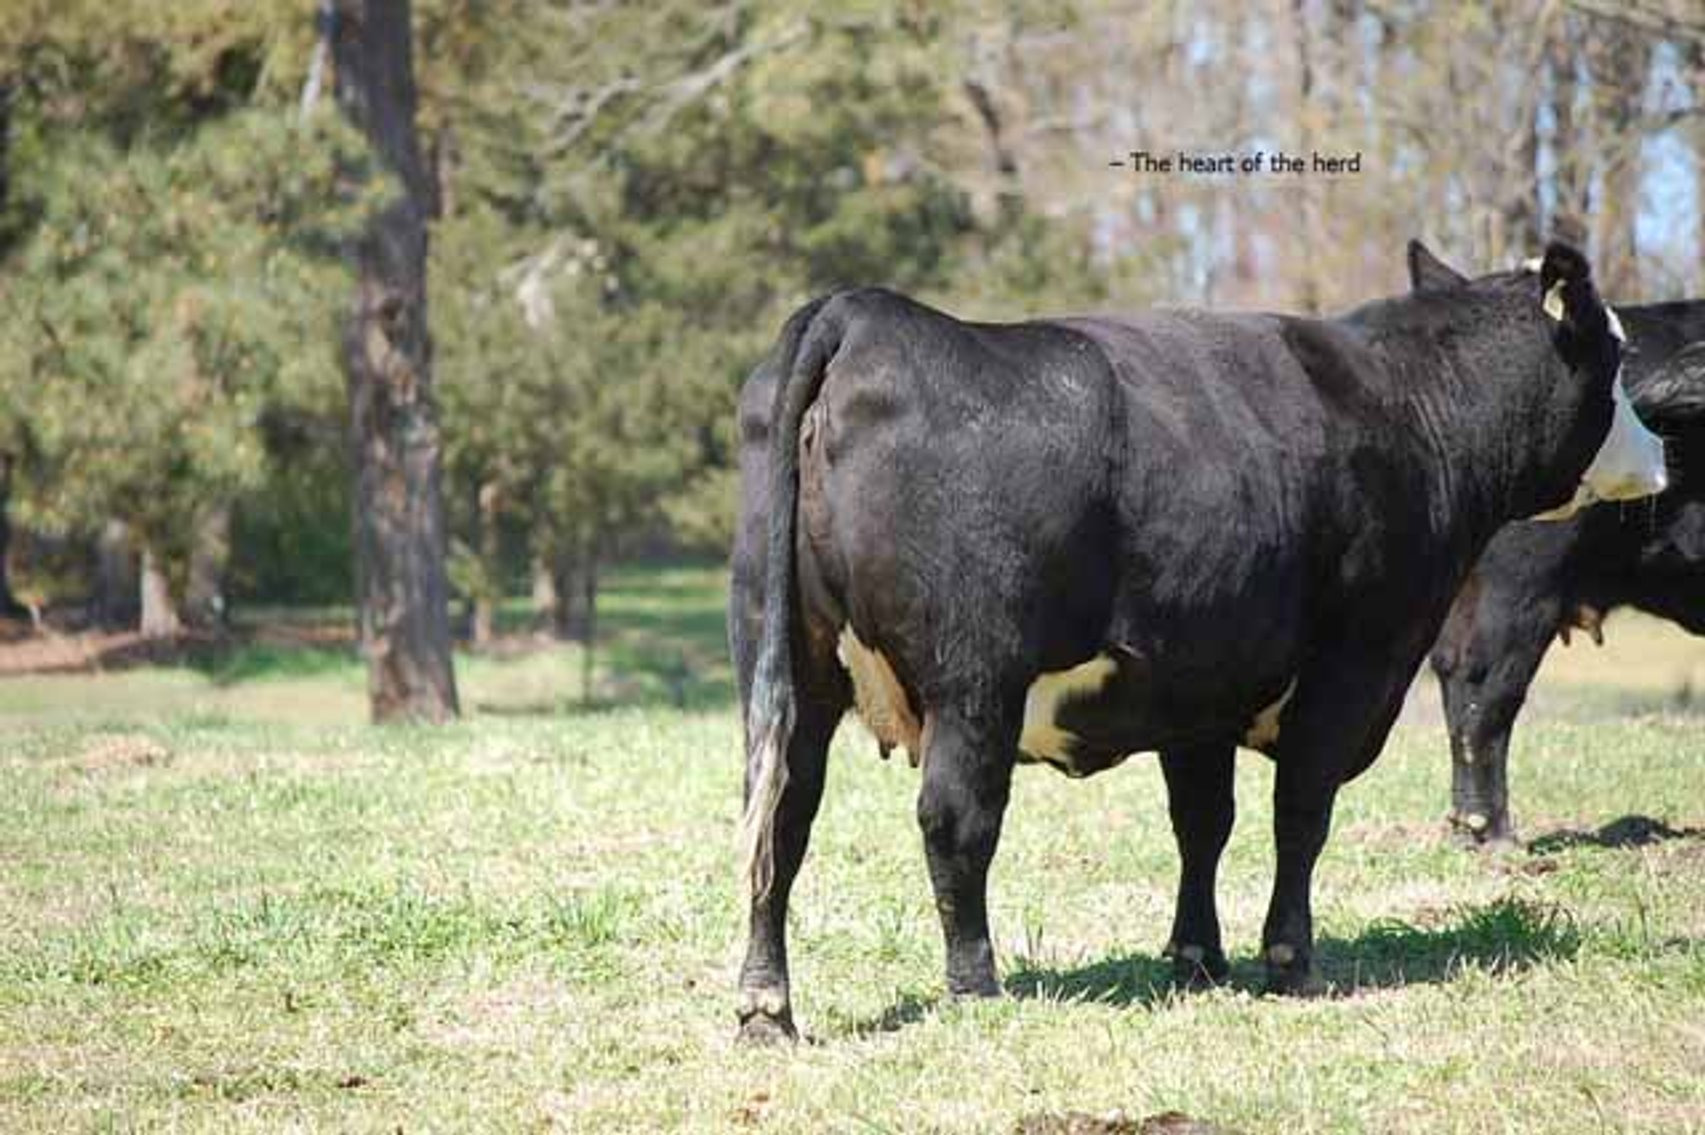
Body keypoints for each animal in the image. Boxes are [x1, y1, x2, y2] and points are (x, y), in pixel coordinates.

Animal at [727, 241, 1667, 1043]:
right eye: (1613, 359)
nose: (1659, 449)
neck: (1406, 409)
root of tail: (867, 311)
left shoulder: (1197, 685)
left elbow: (1202, 822)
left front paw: (1196, 957)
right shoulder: (1350, 663)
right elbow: (1300, 812)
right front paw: (1289, 959)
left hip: (789, 673)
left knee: (780, 818)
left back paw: (767, 1008)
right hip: (973, 684)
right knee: (954, 820)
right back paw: (975, 985)